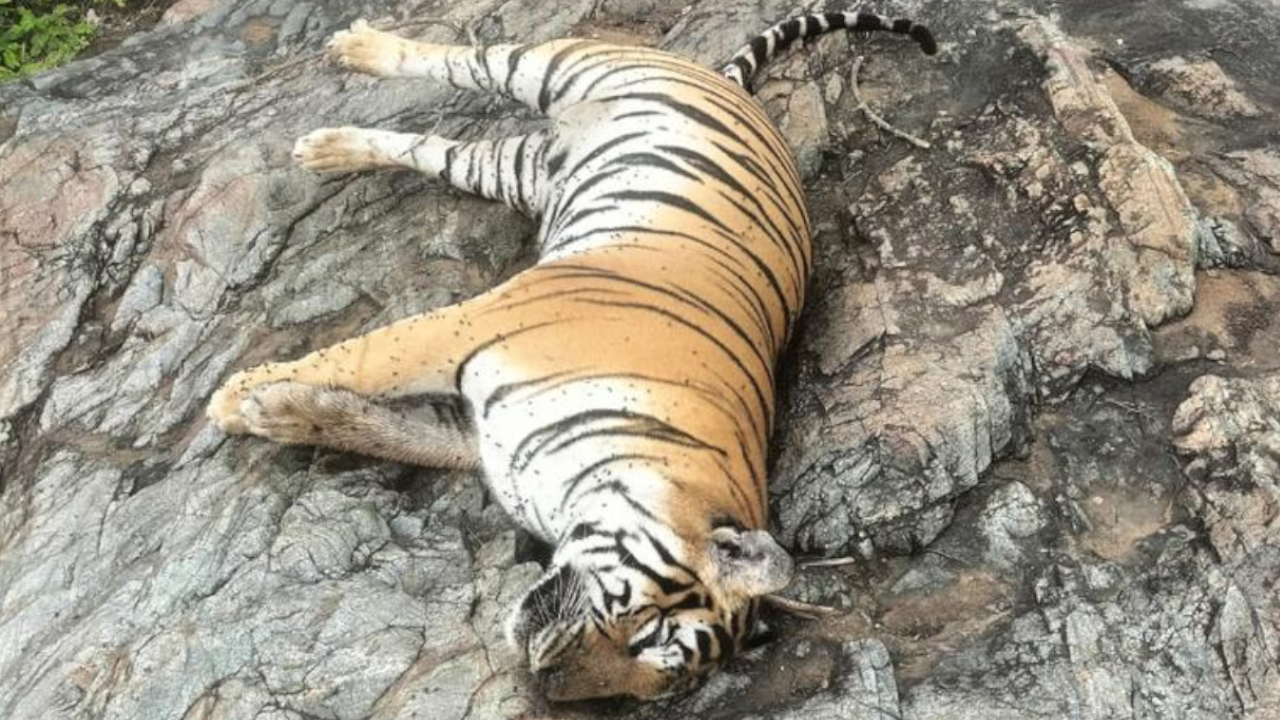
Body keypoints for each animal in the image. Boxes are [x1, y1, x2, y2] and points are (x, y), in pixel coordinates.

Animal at [206, 9, 936, 701]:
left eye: (652, 681)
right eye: (647, 631)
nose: (545, 681)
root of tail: (731, 86)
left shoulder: (471, 434)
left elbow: (376, 428)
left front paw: (276, 412)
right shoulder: (466, 328)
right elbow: (360, 360)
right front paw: (232, 397)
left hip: (513, 170)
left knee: (430, 147)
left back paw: (328, 149)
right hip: (559, 66)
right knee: (459, 60)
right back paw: (357, 50)